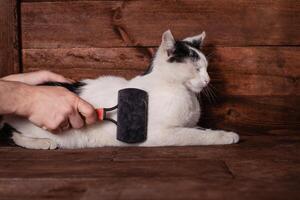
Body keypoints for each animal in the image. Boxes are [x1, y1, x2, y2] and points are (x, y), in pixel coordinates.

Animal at [0, 29, 239, 148]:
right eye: (197, 69)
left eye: (207, 68)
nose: (208, 80)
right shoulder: (160, 133)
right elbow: (194, 135)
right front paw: (225, 136)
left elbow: (199, 129)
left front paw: (215, 131)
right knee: (13, 134)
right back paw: (43, 143)